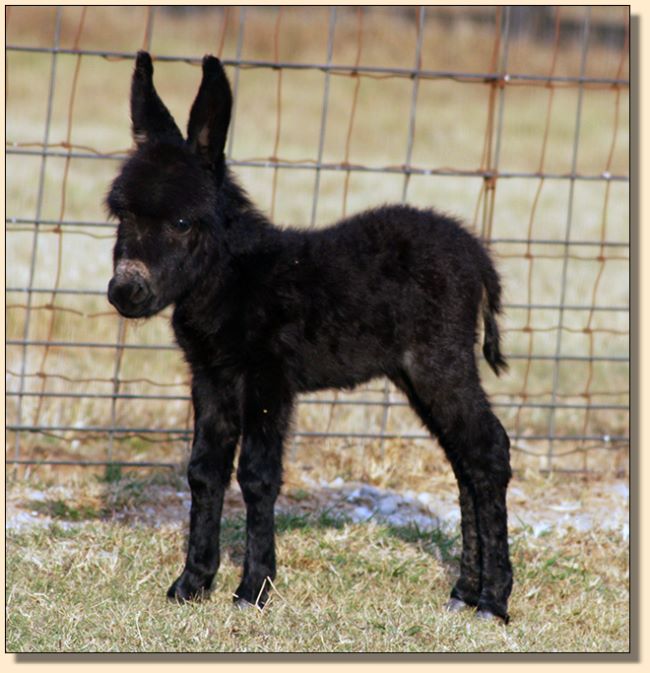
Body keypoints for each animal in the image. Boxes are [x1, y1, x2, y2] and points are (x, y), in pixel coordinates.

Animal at [106, 51, 512, 620]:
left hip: (440, 361)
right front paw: (191, 584)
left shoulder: (268, 380)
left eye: (183, 222)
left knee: (488, 450)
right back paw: (464, 592)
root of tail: (476, 252)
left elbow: (257, 477)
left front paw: (252, 590)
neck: (235, 279)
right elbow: (205, 472)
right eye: (120, 213)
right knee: (465, 461)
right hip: (416, 373)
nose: (126, 292)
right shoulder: (211, 378)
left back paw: (493, 601)